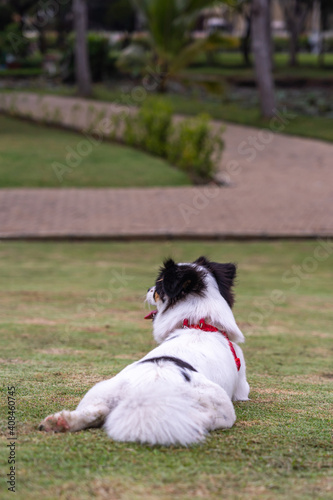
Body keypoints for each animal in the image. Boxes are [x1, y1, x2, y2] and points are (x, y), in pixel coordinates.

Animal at [39, 258, 249, 446]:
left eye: (158, 285)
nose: (148, 289)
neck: (199, 323)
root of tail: (147, 392)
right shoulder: (242, 389)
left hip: (101, 391)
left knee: (96, 412)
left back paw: (61, 422)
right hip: (221, 406)